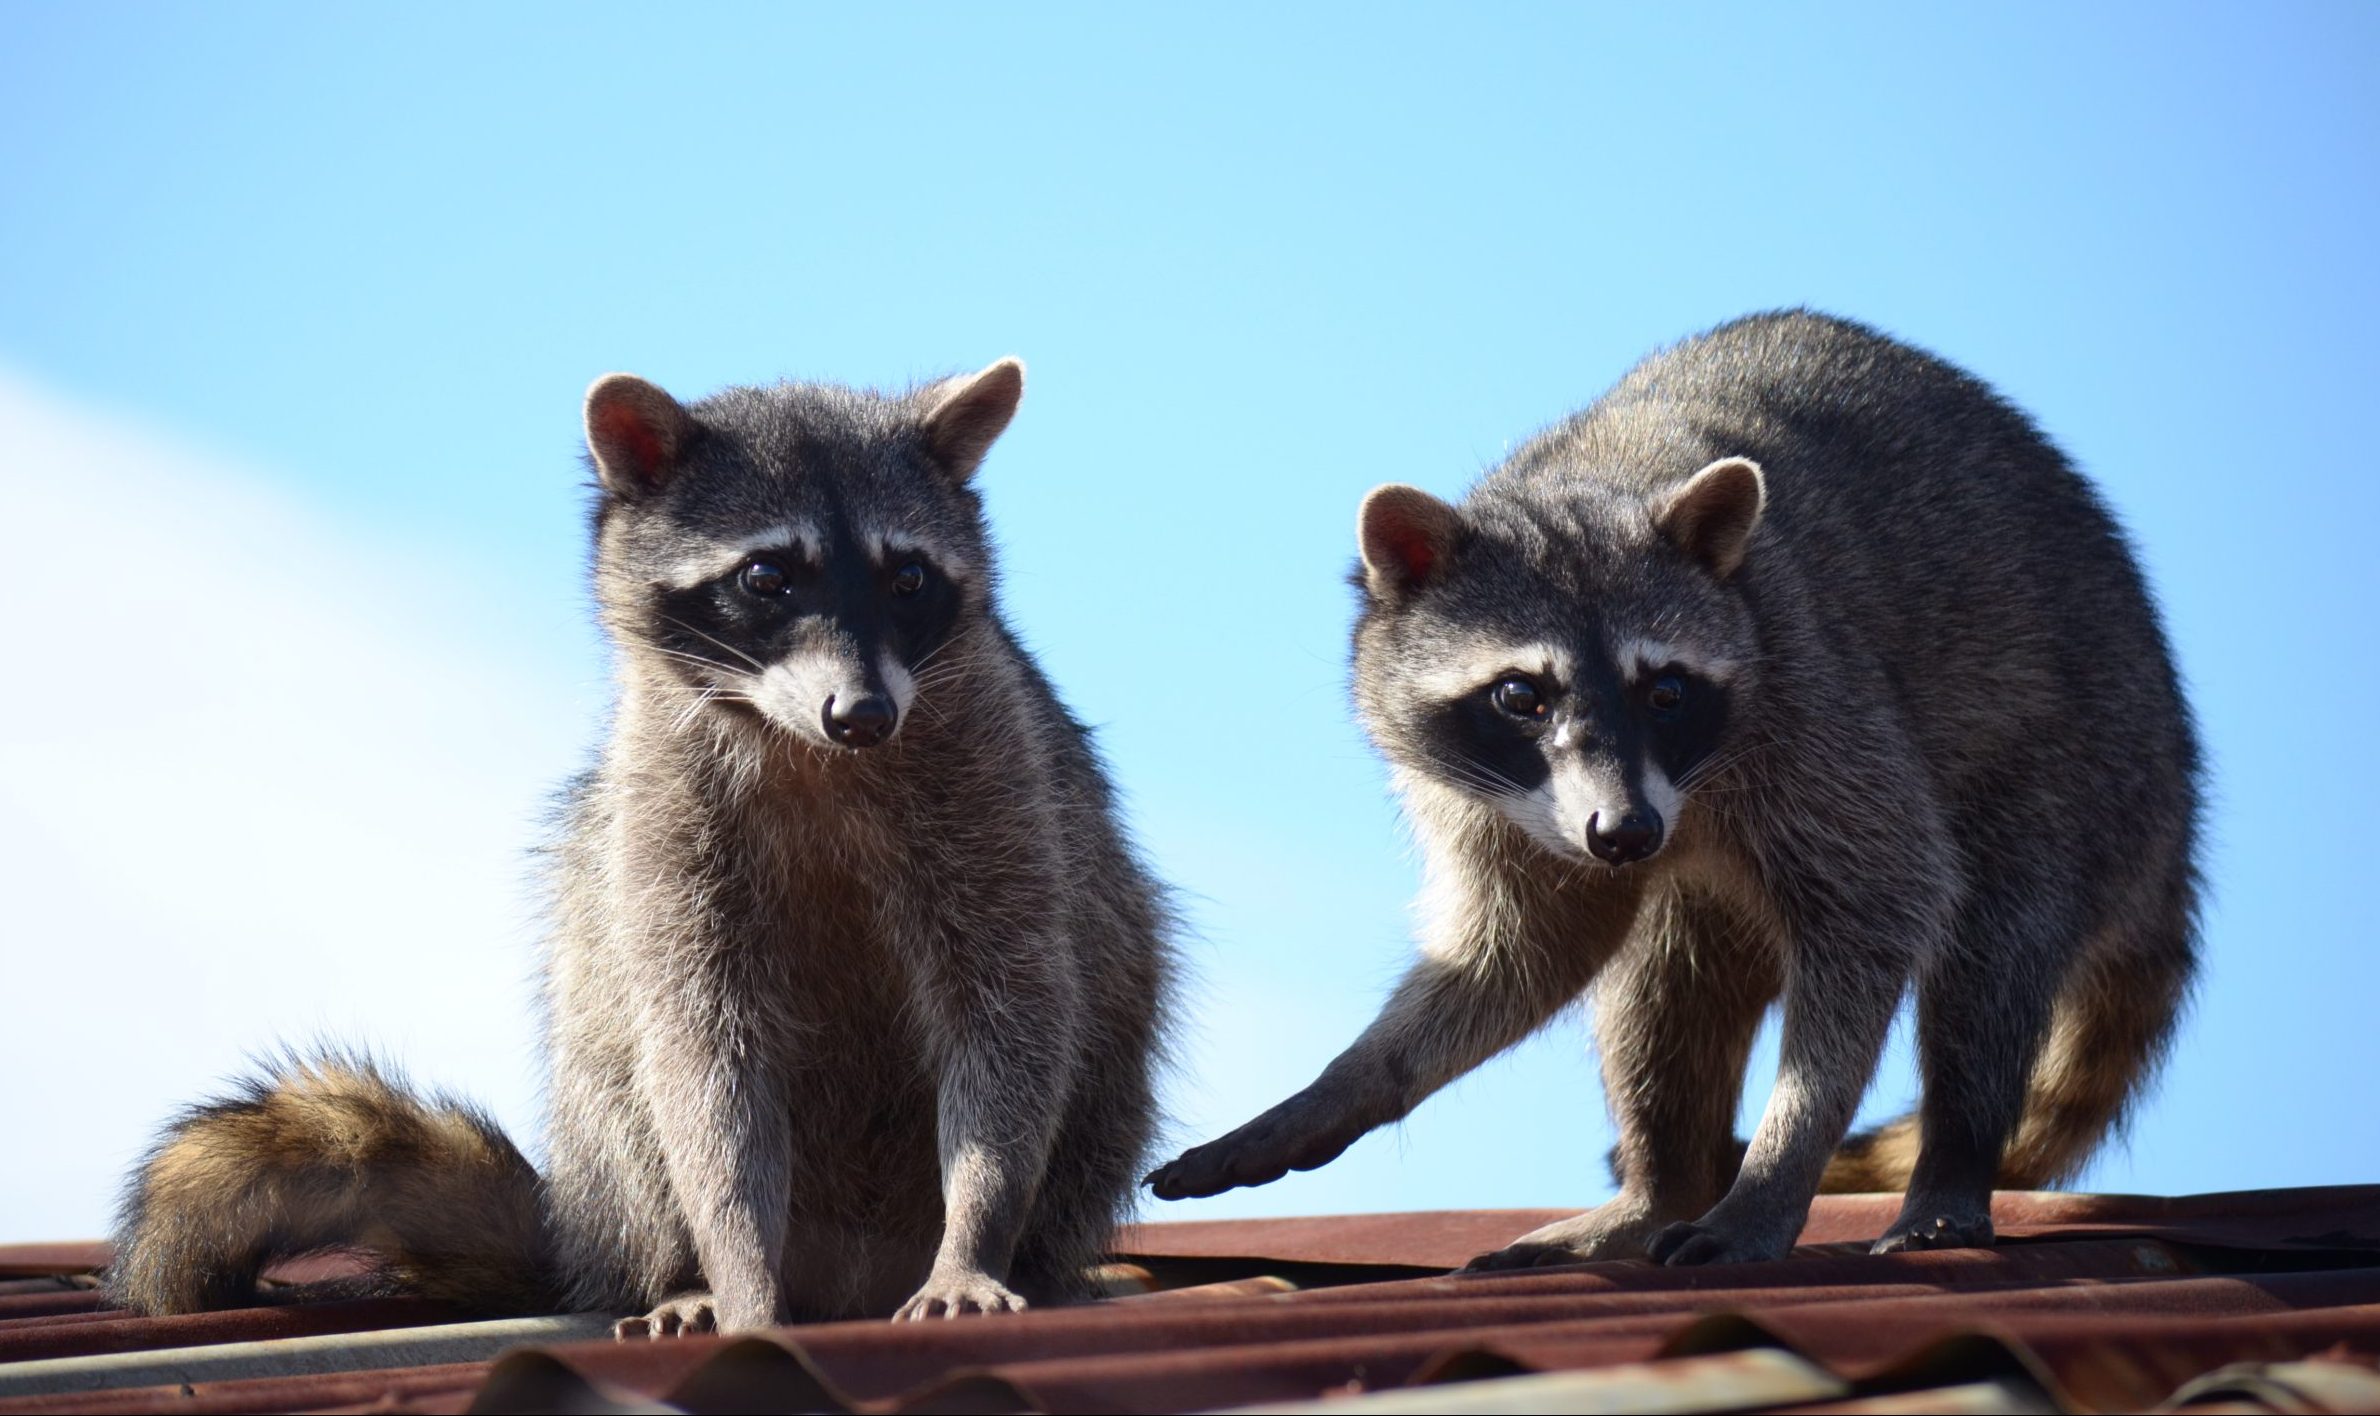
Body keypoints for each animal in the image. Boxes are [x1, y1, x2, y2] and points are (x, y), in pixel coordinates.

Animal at [107, 354, 1175, 1332]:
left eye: (907, 577)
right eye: (767, 576)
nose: (864, 715)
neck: (804, 745)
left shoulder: (999, 782)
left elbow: (1012, 1015)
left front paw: (976, 1236)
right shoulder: (663, 814)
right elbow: (703, 1062)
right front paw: (738, 1267)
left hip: (1096, 1103)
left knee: (1097, 1058)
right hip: (610, 1127)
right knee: (627, 1087)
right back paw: (682, 1272)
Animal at [1142, 316, 2199, 1266]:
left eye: (1667, 691)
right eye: (1521, 696)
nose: (1627, 832)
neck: (1585, 480)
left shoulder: (1813, 698)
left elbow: (1883, 898)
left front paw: (1781, 1162)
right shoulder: (1488, 793)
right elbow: (1530, 946)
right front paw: (1351, 1081)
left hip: (2079, 761)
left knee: (1989, 953)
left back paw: (1952, 1158)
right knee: (1664, 981)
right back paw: (1663, 1183)